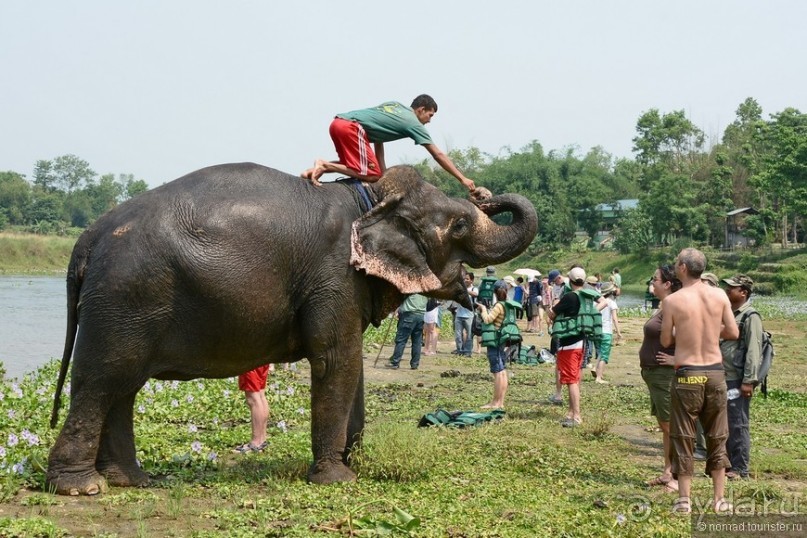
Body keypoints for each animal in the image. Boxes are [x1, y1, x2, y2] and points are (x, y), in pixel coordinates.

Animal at [44, 163, 536, 494]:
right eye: (460, 224)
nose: (483, 192)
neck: (369, 197)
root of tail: (86, 240)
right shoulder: (335, 275)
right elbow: (336, 359)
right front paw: (338, 479)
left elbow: (351, 365)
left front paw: (356, 464)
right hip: (127, 296)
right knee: (104, 379)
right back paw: (82, 488)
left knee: (122, 386)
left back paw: (131, 481)